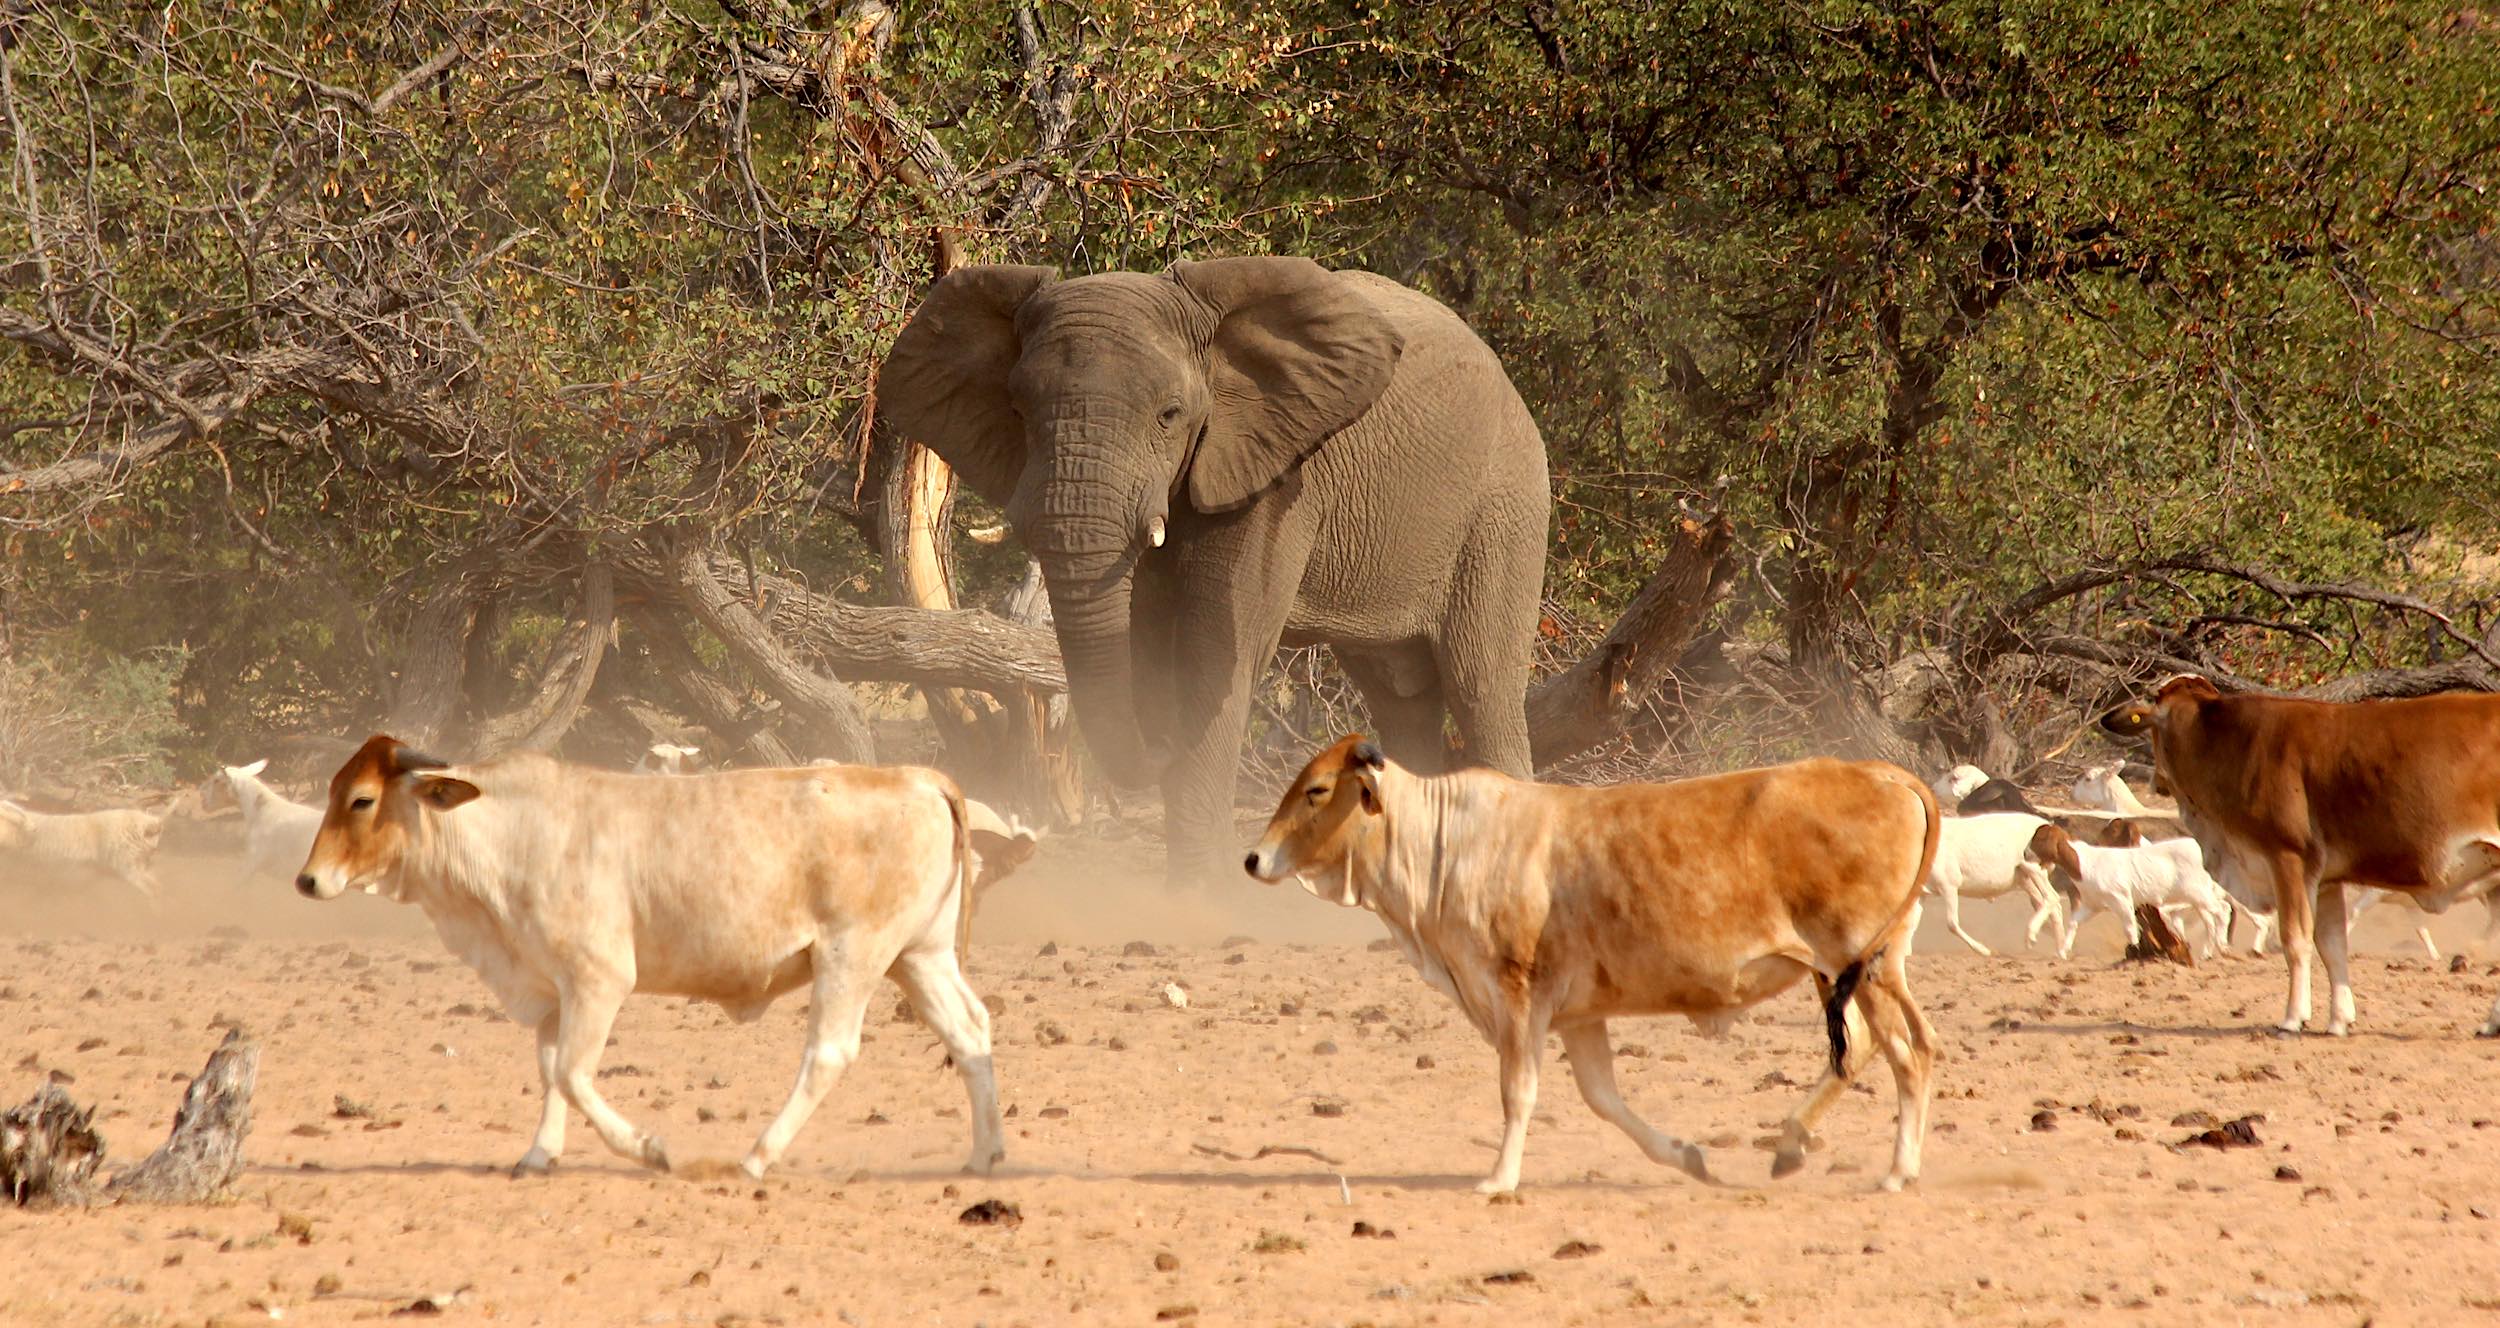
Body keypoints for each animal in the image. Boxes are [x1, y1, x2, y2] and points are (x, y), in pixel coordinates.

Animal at [295, 735, 1005, 1180]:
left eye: (362, 799)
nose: (308, 880)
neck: (512, 833)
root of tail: (916, 777)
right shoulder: (553, 989)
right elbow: (551, 1071)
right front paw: (539, 1155)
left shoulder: (599, 980)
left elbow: (574, 1074)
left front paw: (649, 1148)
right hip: (919, 956)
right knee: (970, 1033)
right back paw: (986, 1155)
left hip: (851, 956)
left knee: (829, 1053)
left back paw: (756, 1158)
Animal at [880, 256, 1550, 885]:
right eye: (1018, 411)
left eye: (1170, 414)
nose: (1158, 747)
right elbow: (1150, 648)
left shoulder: (1274, 477)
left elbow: (1212, 656)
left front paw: (1202, 898)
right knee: (1401, 698)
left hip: (1505, 507)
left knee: (1480, 686)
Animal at [1242, 736, 1940, 1194]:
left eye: (1317, 790)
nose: (1252, 858)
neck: (1447, 843)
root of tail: (1882, 774)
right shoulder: (1579, 1013)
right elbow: (1603, 1098)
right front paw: (1685, 1156)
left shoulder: (1518, 994)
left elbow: (1518, 1091)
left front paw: (1499, 1178)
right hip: (1860, 969)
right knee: (1885, 1046)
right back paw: (1794, 1143)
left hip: (1859, 961)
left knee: (1906, 1054)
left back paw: (1898, 1171)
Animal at [2100, 675, 2500, 1036]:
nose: (2156, 781)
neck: (2226, 742)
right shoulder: (2327, 880)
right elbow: (2332, 946)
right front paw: (2339, 1020)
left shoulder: (2287, 858)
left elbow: (2295, 940)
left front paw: (2293, 1017)